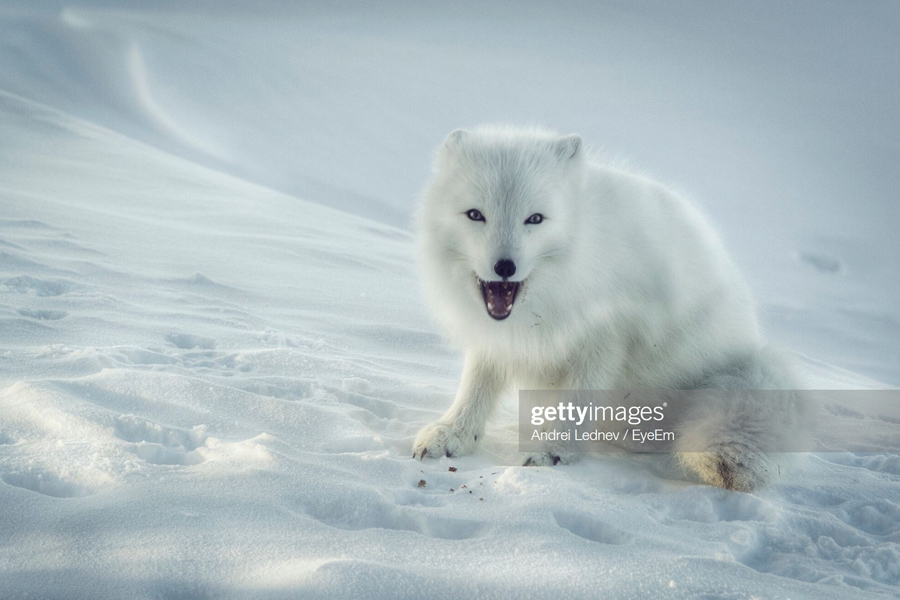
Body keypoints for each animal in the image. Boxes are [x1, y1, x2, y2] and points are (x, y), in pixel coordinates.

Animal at [414, 126, 800, 492]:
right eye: (475, 215)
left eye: (535, 219)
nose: (505, 267)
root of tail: (750, 344)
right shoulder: (497, 336)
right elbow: (475, 386)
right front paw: (454, 433)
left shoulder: (608, 335)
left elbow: (579, 400)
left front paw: (555, 452)